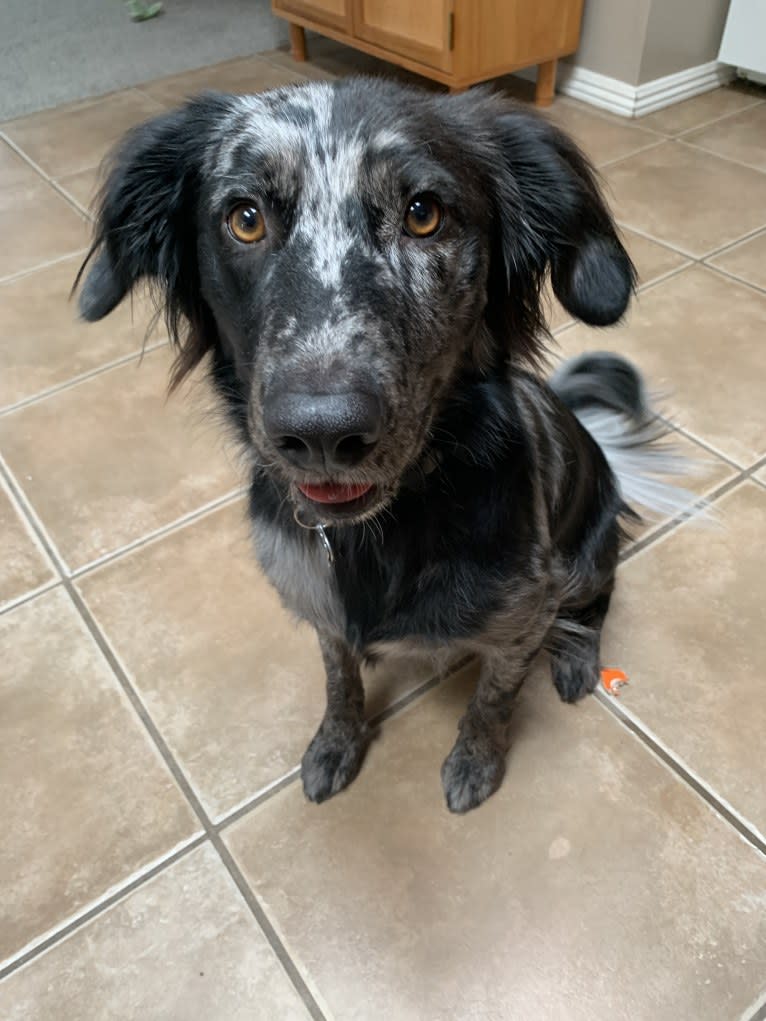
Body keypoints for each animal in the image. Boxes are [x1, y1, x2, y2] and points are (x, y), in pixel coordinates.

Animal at [76, 77, 690, 812]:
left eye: (424, 214)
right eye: (245, 218)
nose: (321, 432)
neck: (376, 537)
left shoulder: (525, 611)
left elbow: (493, 699)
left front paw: (476, 762)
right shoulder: (319, 604)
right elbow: (340, 679)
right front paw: (335, 743)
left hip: (589, 554)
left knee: (597, 600)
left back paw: (575, 656)